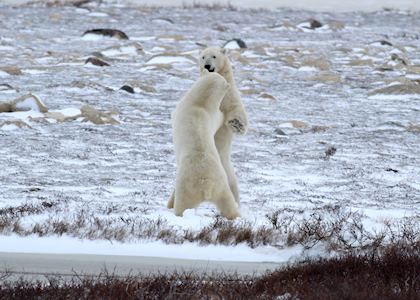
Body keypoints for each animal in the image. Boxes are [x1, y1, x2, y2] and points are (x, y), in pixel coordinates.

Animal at [167, 71, 240, 220]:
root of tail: (206, 184)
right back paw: (236, 215)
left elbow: (219, 118)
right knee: (228, 204)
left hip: (187, 186)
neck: (198, 103)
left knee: (182, 205)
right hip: (221, 186)